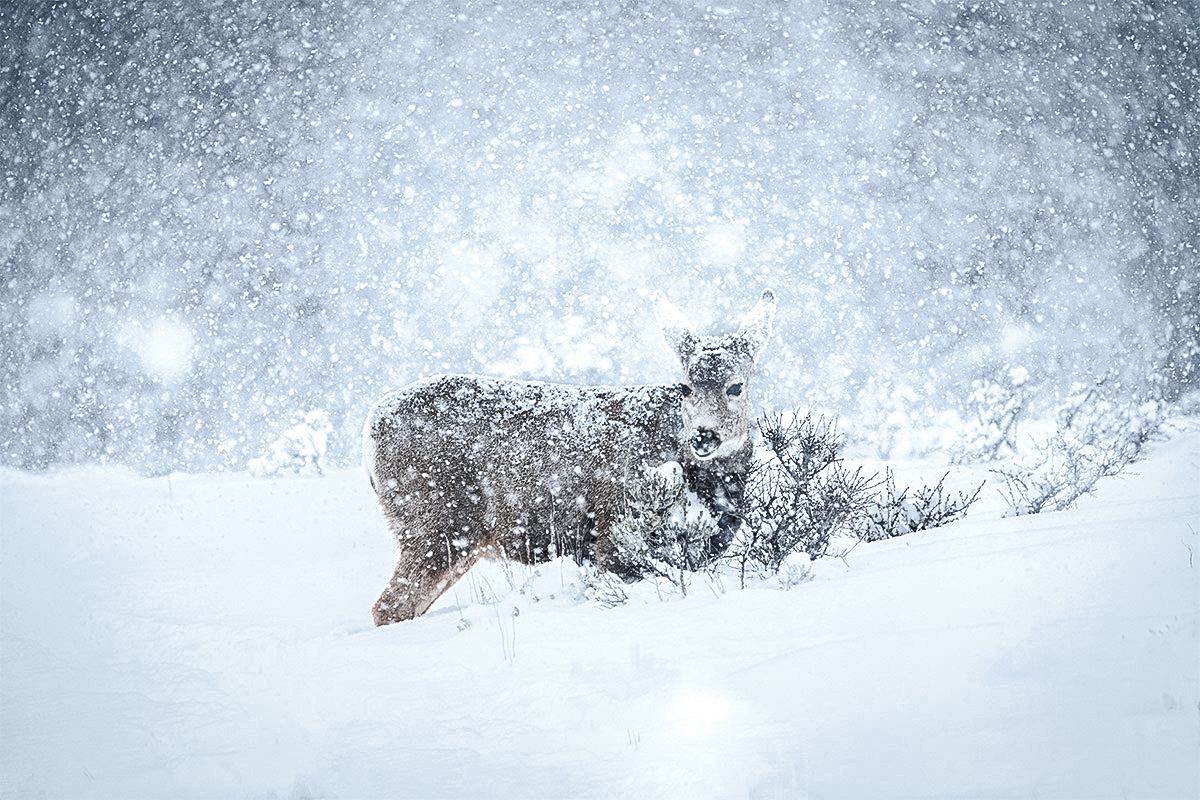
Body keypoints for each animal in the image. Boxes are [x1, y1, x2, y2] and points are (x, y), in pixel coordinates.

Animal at [362, 287, 777, 623]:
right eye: (686, 386)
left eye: (736, 386)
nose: (703, 435)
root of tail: (369, 429)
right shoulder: (615, 530)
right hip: (436, 520)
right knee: (390, 605)